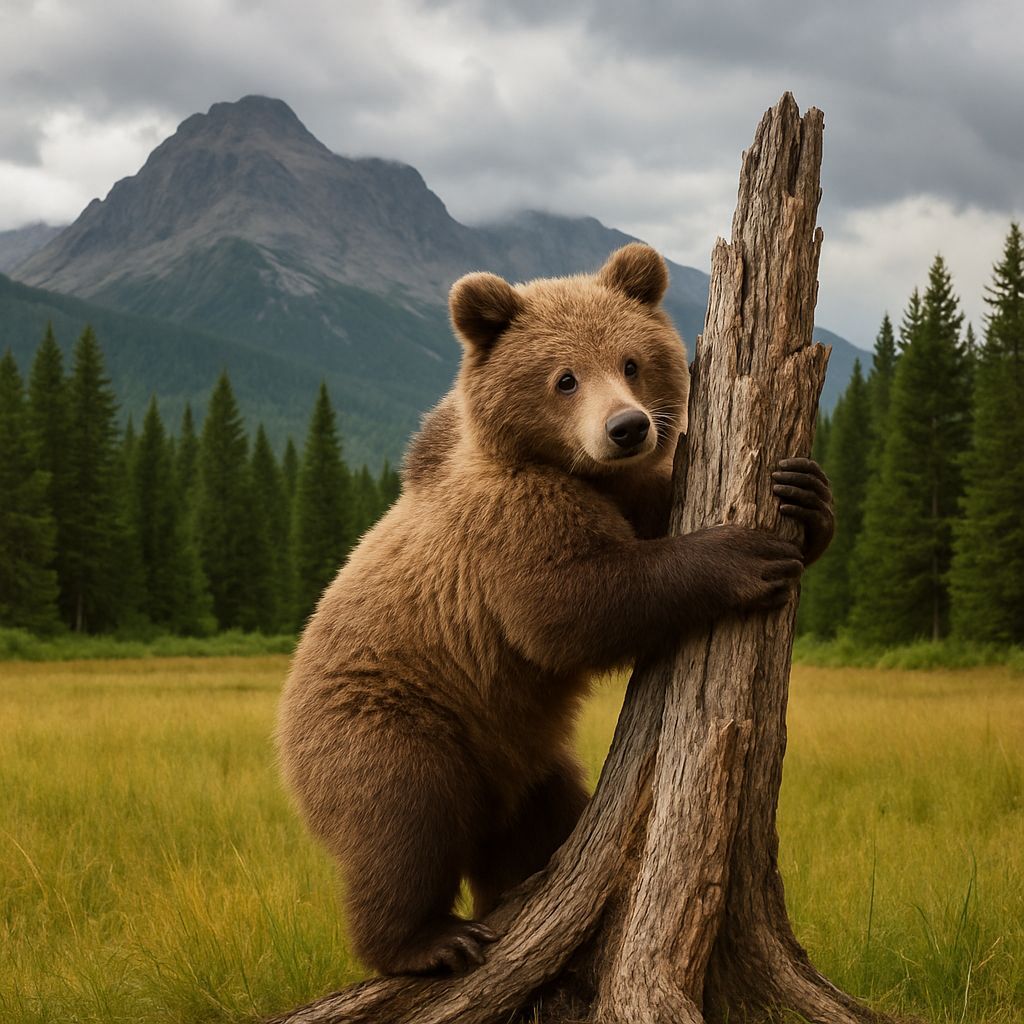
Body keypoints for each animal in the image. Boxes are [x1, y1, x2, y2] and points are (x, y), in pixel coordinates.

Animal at [276, 242, 834, 976]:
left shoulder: (628, 492)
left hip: (527, 759)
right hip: (389, 722)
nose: (627, 427)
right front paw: (744, 555)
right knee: (402, 822)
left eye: (631, 361)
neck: (573, 470)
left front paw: (807, 496)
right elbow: (572, 607)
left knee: (540, 823)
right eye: (564, 378)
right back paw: (427, 940)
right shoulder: (512, 523)